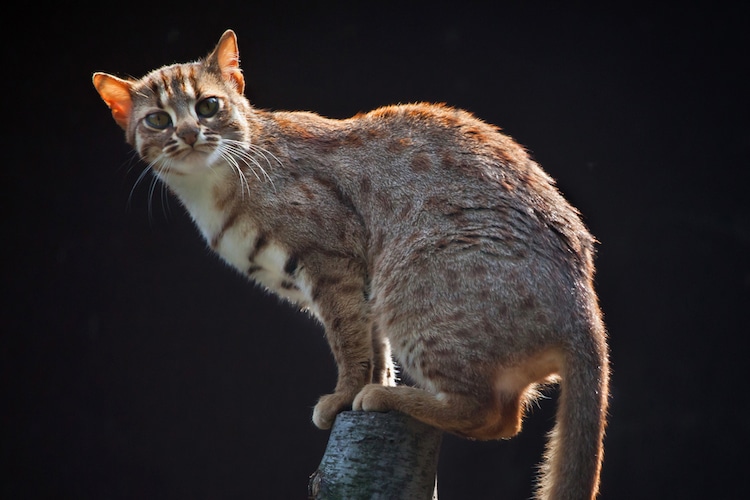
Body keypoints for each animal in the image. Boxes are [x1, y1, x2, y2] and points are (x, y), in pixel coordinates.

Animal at [92, 29, 612, 498]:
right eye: (157, 119)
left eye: (207, 106)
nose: (187, 133)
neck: (214, 184)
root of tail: (584, 311)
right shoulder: (360, 287)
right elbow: (373, 348)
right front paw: (366, 387)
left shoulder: (333, 262)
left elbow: (349, 344)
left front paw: (347, 395)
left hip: (412, 280)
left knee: (496, 416)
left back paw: (394, 399)